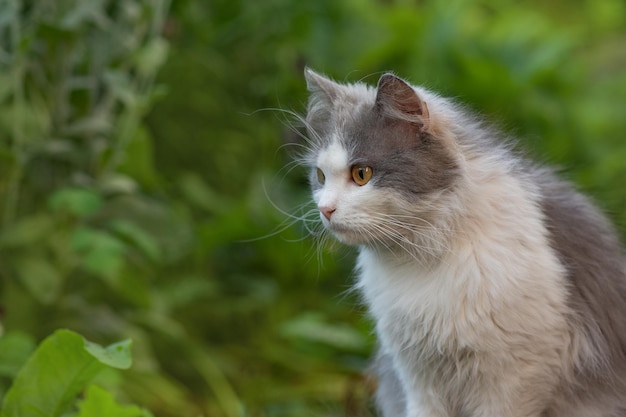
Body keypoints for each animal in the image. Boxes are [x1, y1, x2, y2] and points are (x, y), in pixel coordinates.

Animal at [298, 69, 624, 416]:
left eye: (362, 174)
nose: (325, 209)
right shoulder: (417, 375)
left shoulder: (513, 376)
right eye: (320, 176)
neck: (421, 261)